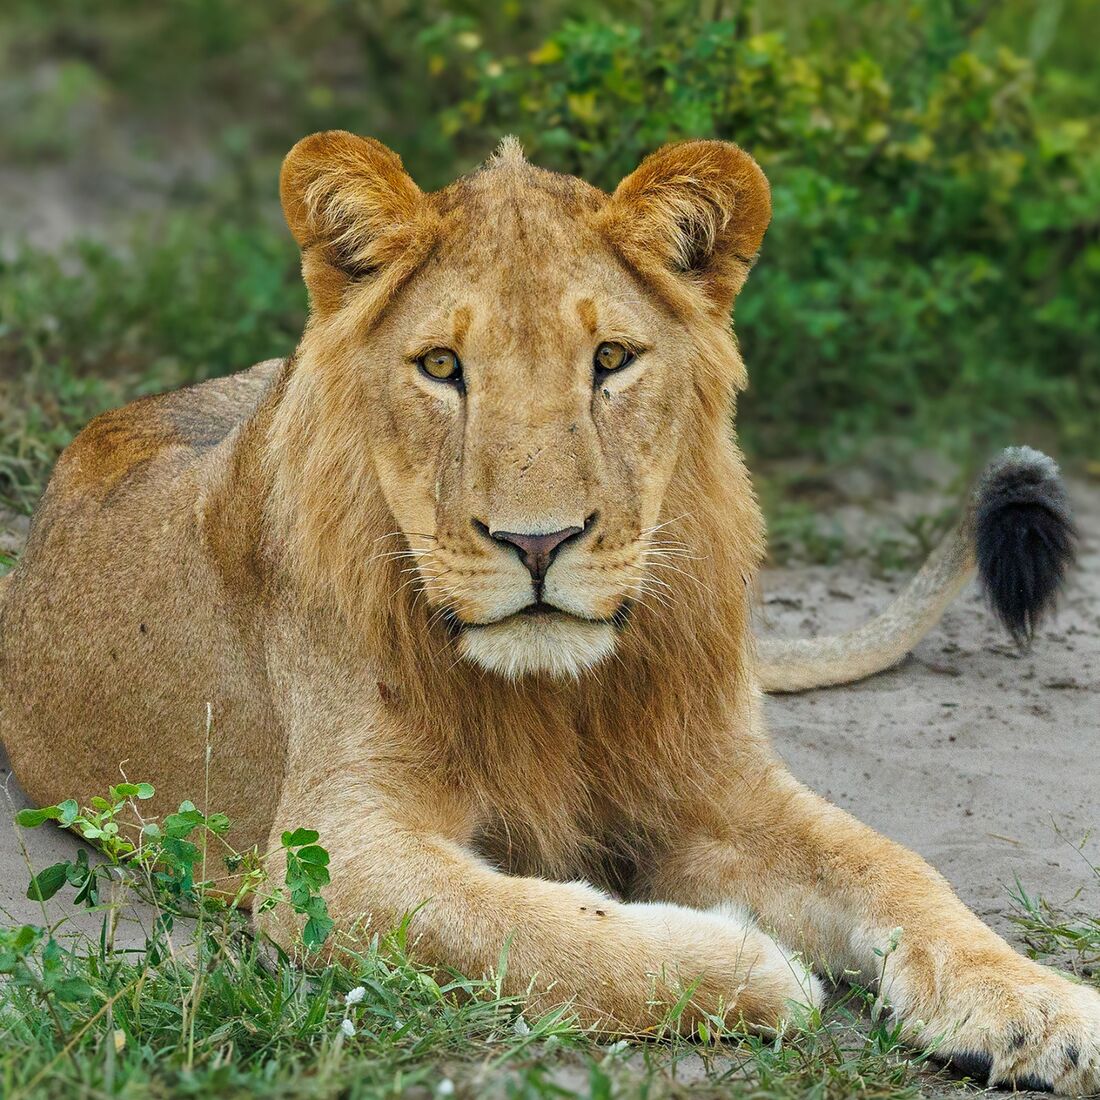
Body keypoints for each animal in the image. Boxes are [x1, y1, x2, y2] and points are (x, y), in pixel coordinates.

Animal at [1, 131, 1094, 1093]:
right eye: (443, 367)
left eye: (610, 359)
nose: (538, 542)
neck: (564, 693)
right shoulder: (329, 853)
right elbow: (526, 926)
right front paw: (751, 965)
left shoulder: (717, 781)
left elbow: (893, 867)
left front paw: (1040, 1008)